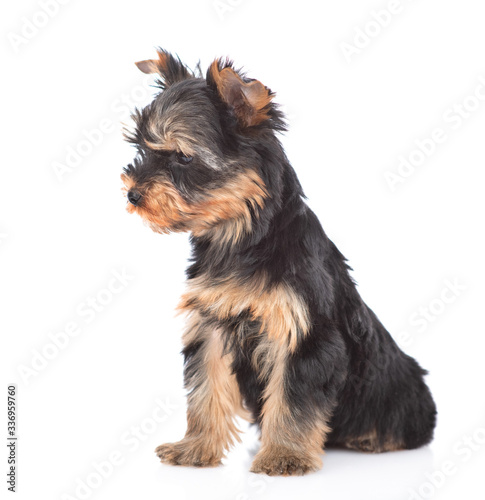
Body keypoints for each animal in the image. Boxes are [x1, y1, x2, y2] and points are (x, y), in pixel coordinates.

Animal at [120, 50, 434, 476]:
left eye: (183, 157)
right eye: (143, 149)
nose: (133, 194)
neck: (239, 235)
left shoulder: (303, 333)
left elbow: (293, 398)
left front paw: (285, 455)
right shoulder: (211, 324)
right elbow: (206, 388)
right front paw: (197, 447)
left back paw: (373, 438)